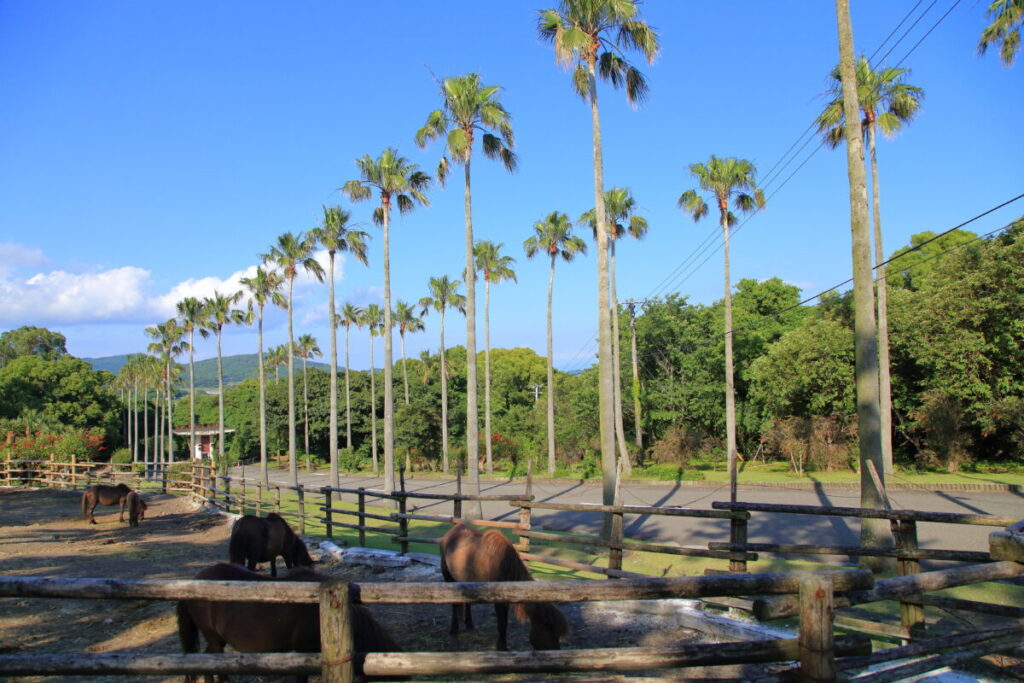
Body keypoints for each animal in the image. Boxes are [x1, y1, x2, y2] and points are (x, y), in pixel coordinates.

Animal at [439, 523, 569, 651]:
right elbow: (502, 624)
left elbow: (504, 623)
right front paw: (502, 648)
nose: (557, 650)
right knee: (454, 605)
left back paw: (469, 624)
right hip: (448, 576)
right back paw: (454, 629)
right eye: (551, 630)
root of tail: (450, 532)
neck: (504, 563)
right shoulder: (498, 599)